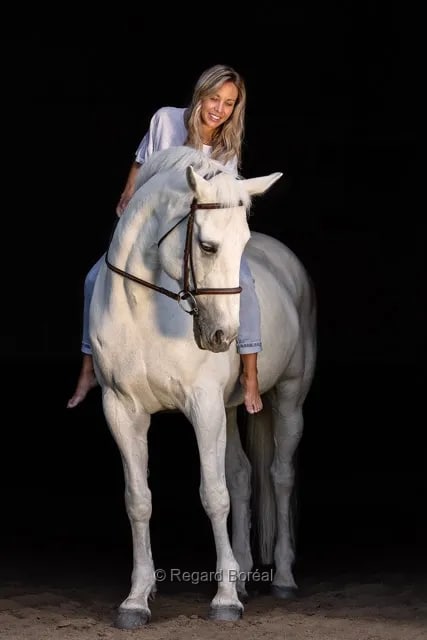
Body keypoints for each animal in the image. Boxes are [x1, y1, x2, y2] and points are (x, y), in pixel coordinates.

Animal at [89, 145, 317, 628]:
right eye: (207, 246)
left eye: (243, 244)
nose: (223, 337)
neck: (143, 309)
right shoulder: (122, 410)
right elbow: (138, 499)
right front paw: (136, 600)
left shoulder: (203, 407)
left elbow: (214, 495)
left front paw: (224, 600)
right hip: (230, 411)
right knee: (244, 476)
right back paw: (246, 575)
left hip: (289, 398)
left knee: (280, 476)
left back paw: (283, 578)